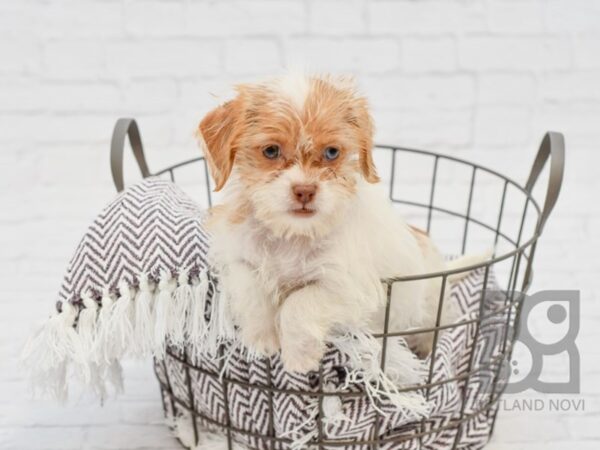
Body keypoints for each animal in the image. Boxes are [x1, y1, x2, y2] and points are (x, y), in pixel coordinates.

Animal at [199, 74, 480, 372]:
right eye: (271, 150)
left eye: (332, 152)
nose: (305, 191)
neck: (294, 236)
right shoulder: (236, 257)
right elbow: (250, 286)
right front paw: (261, 339)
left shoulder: (346, 285)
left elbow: (300, 302)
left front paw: (299, 358)